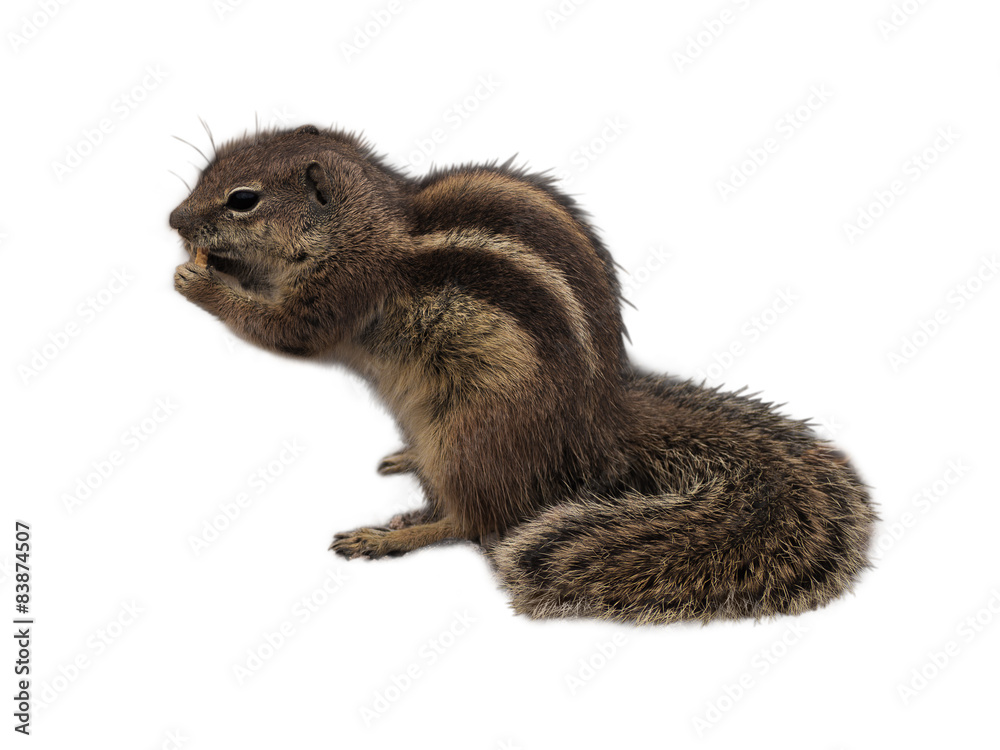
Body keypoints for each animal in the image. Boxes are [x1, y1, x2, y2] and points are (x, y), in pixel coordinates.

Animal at [170, 124, 876, 625]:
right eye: (207, 171)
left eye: (243, 201)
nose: (173, 221)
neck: (363, 224)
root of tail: (603, 425)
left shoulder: (343, 289)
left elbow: (289, 332)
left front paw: (199, 279)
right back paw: (407, 474)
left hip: (471, 437)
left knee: (475, 522)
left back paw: (392, 536)